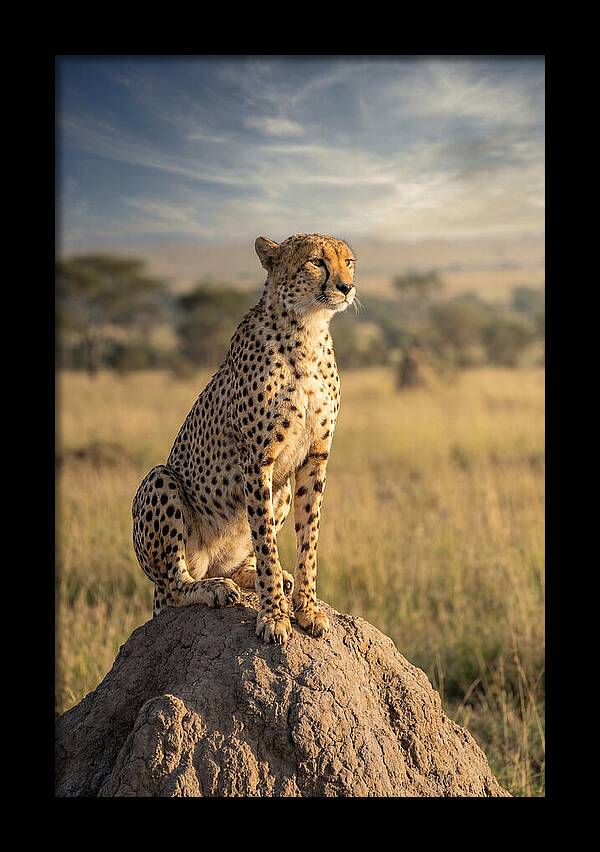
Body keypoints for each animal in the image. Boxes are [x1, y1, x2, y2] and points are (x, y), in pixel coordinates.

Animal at [132, 232, 357, 645]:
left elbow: (309, 539)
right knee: (174, 584)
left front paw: (307, 608)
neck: (308, 329)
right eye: (317, 262)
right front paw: (274, 616)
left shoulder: (315, 457)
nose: (346, 287)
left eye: (348, 262)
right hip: (160, 481)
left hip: (281, 489)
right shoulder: (257, 460)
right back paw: (213, 588)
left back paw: (257, 577)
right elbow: (266, 541)